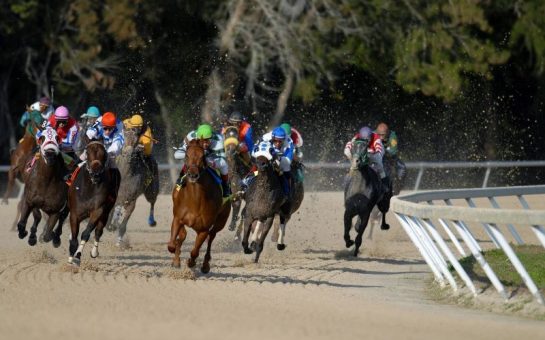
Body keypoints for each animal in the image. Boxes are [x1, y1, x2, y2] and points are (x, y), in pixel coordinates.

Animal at [169, 138, 231, 274]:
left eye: (203, 156)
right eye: (186, 155)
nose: (193, 175)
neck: (195, 200)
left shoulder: (204, 229)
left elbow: (195, 252)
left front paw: (191, 262)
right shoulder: (177, 218)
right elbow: (172, 244)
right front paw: (176, 259)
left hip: (220, 222)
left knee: (211, 237)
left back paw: (205, 265)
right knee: (183, 236)